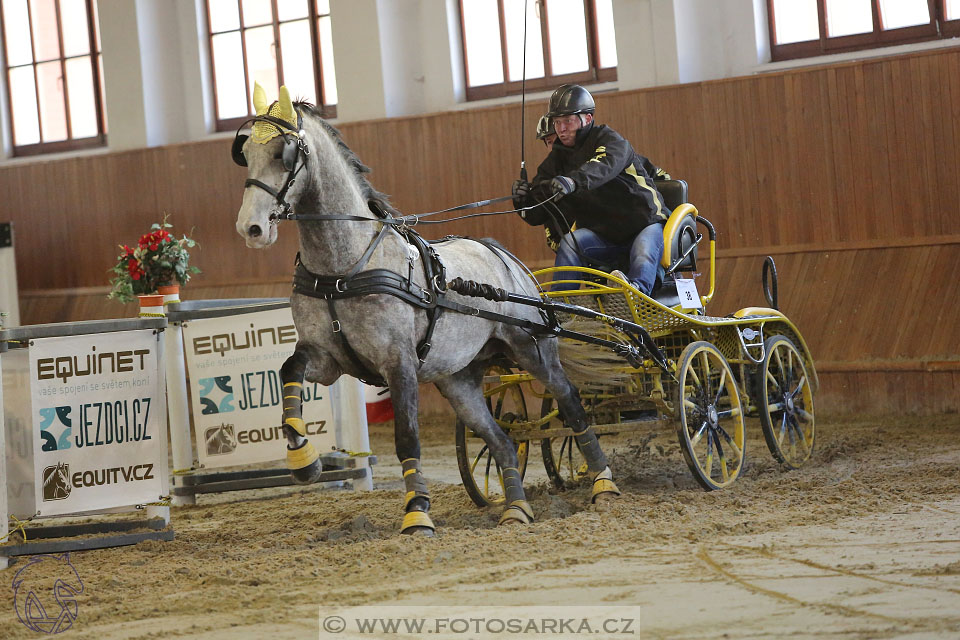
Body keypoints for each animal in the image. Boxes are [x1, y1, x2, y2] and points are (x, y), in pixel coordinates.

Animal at [236, 85, 620, 536]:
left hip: (533, 350)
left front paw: (417, 512)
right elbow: (289, 372)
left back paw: (603, 486)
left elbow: (407, 436)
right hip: (459, 380)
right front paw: (303, 460)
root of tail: (506, 258)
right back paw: (516, 509)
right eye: (246, 152)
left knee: (572, 405)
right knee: (503, 440)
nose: (251, 228)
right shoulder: (327, 359)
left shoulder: (398, 362)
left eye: (284, 154)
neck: (346, 268)